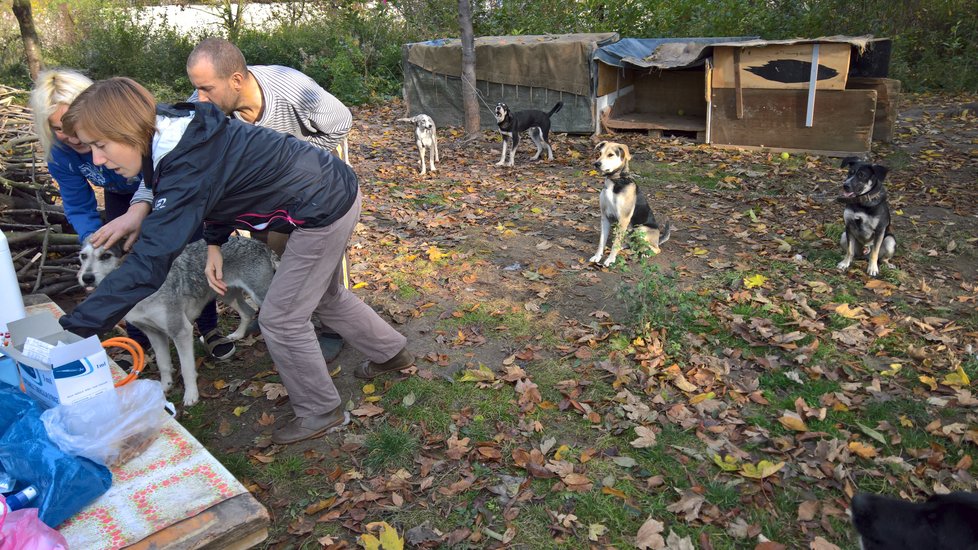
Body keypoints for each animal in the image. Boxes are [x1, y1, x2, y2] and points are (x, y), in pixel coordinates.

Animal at [77, 235, 276, 408]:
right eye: (83, 256)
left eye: (106, 255)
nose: (86, 278)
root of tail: (259, 244)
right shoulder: (153, 334)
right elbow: (163, 364)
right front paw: (164, 387)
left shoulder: (181, 331)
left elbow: (186, 369)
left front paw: (191, 395)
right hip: (225, 294)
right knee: (248, 312)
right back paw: (238, 335)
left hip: (259, 296)